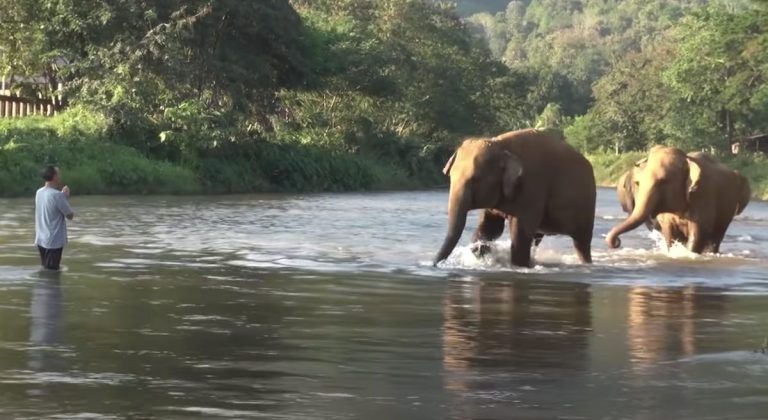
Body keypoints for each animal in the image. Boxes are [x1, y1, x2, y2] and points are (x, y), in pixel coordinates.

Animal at [434, 128, 597, 268]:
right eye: (450, 177)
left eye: (475, 179)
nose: (434, 265)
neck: (500, 145)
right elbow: (491, 226)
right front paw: (480, 248)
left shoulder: (532, 187)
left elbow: (520, 233)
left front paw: (518, 266)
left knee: (581, 243)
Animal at [607, 145, 751, 253]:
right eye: (638, 183)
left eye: (663, 181)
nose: (616, 242)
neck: (687, 160)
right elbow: (669, 233)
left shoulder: (703, 195)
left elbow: (697, 233)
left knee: (716, 236)